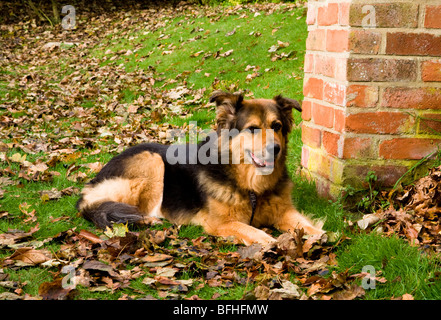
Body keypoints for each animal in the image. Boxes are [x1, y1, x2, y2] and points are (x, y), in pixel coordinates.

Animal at [76, 91, 324, 246]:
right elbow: (250, 230)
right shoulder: (220, 223)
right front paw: (267, 240)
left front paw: (319, 234)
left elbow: (304, 224)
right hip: (152, 161)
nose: (276, 149)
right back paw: (148, 220)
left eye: (277, 126)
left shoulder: (284, 211)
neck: (250, 185)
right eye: (253, 129)